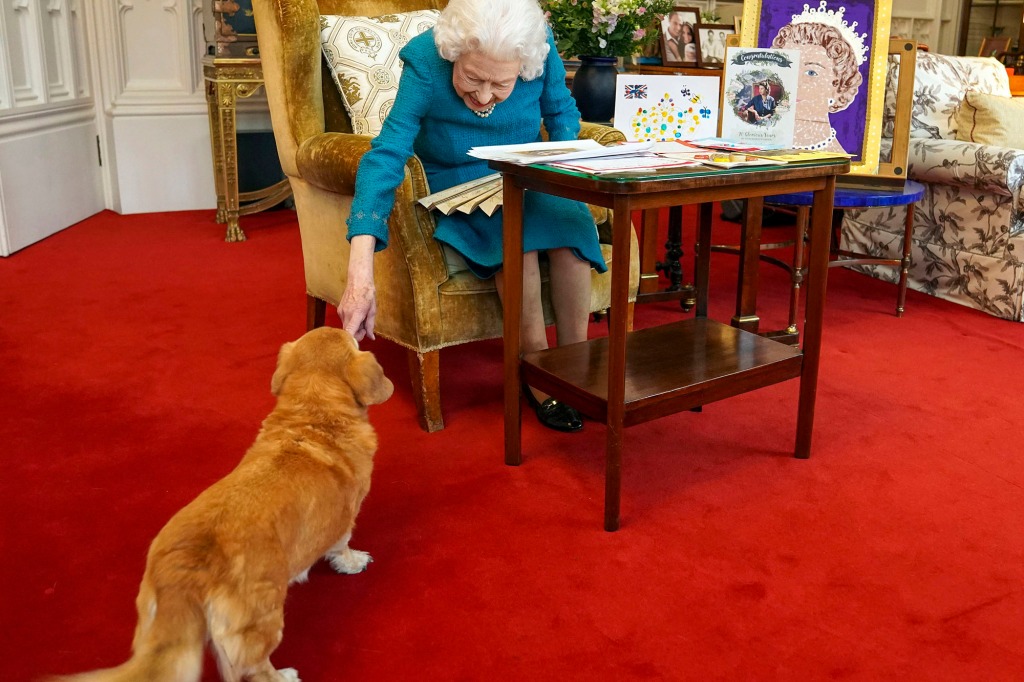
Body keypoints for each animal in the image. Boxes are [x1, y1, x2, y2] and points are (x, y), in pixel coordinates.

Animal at [50, 327, 395, 675]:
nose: (353, 327)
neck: (312, 416)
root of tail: (189, 569)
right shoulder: (344, 519)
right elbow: (342, 545)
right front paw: (353, 562)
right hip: (263, 620)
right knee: (254, 669)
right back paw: (284, 675)